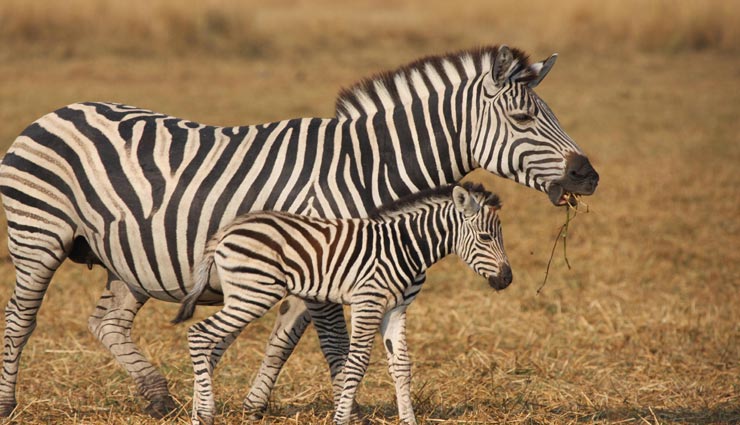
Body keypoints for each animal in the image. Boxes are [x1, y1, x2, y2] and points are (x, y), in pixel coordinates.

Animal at [173, 183, 510, 425]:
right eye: (484, 237)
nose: (507, 279)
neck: (405, 246)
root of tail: (226, 230)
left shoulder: (396, 309)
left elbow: (401, 365)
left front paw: (409, 419)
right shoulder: (368, 301)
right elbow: (356, 363)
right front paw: (341, 418)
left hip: (245, 295)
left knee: (208, 343)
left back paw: (197, 415)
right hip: (254, 294)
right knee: (199, 334)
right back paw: (205, 413)